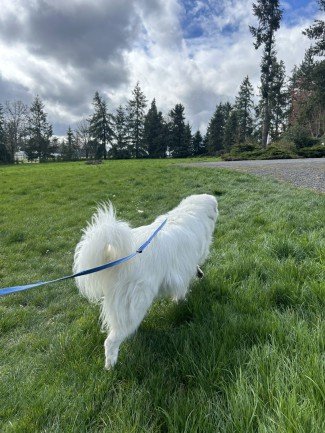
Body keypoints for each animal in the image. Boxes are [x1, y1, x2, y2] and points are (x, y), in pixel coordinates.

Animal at [73, 194, 218, 366]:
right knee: (111, 341)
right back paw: (111, 365)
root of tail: (116, 258)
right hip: (134, 305)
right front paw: (183, 299)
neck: (189, 211)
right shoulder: (183, 267)